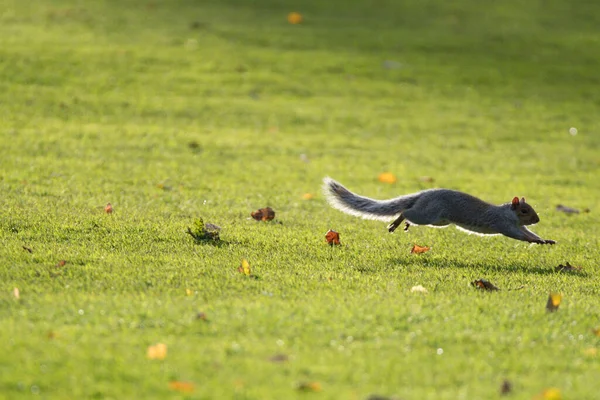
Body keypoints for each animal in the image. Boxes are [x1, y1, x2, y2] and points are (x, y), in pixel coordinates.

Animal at [326, 177, 556, 245]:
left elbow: (527, 232)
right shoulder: (503, 224)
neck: (509, 214)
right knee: (407, 211)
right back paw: (398, 222)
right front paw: (534, 241)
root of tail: (424, 194)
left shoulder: (516, 225)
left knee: (410, 210)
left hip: (438, 220)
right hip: (430, 215)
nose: (537, 219)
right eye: (524, 210)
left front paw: (544, 240)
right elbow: (518, 235)